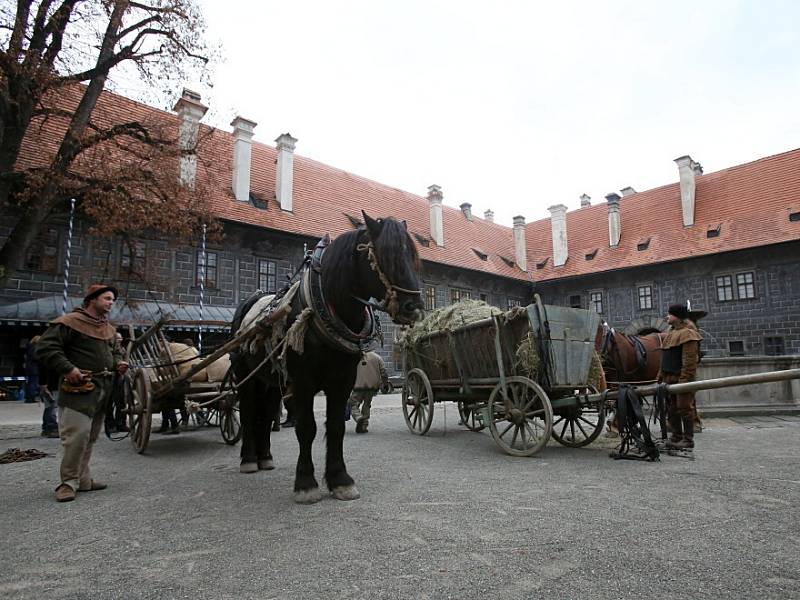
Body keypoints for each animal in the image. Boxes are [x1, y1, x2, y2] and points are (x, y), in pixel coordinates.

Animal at [230, 213, 424, 504]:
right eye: (385, 255)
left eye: (412, 256)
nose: (414, 307)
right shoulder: (302, 382)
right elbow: (306, 427)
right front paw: (305, 483)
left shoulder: (342, 382)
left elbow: (335, 427)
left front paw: (340, 479)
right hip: (246, 377)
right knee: (249, 411)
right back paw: (249, 459)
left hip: (272, 381)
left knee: (265, 414)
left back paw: (265, 457)